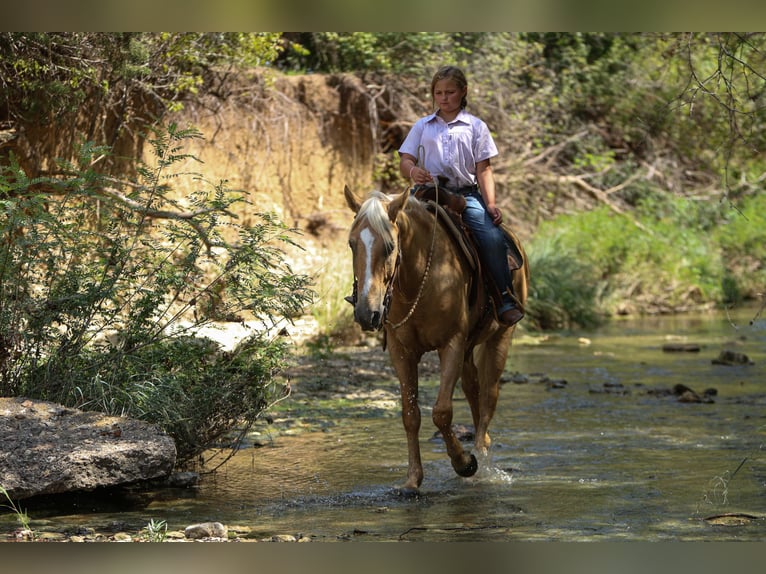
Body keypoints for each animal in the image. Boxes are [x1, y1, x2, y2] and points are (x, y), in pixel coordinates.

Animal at [346, 184, 532, 496]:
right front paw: (412, 480)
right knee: (473, 390)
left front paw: (465, 463)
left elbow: (442, 412)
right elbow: (410, 415)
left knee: (489, 396)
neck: (419, 280)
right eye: (351, 244)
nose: (366, 313)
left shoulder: (451, 344)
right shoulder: (401, 351)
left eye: (390, 246)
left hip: (500, 338)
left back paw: (480, 458)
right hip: (469, 348)